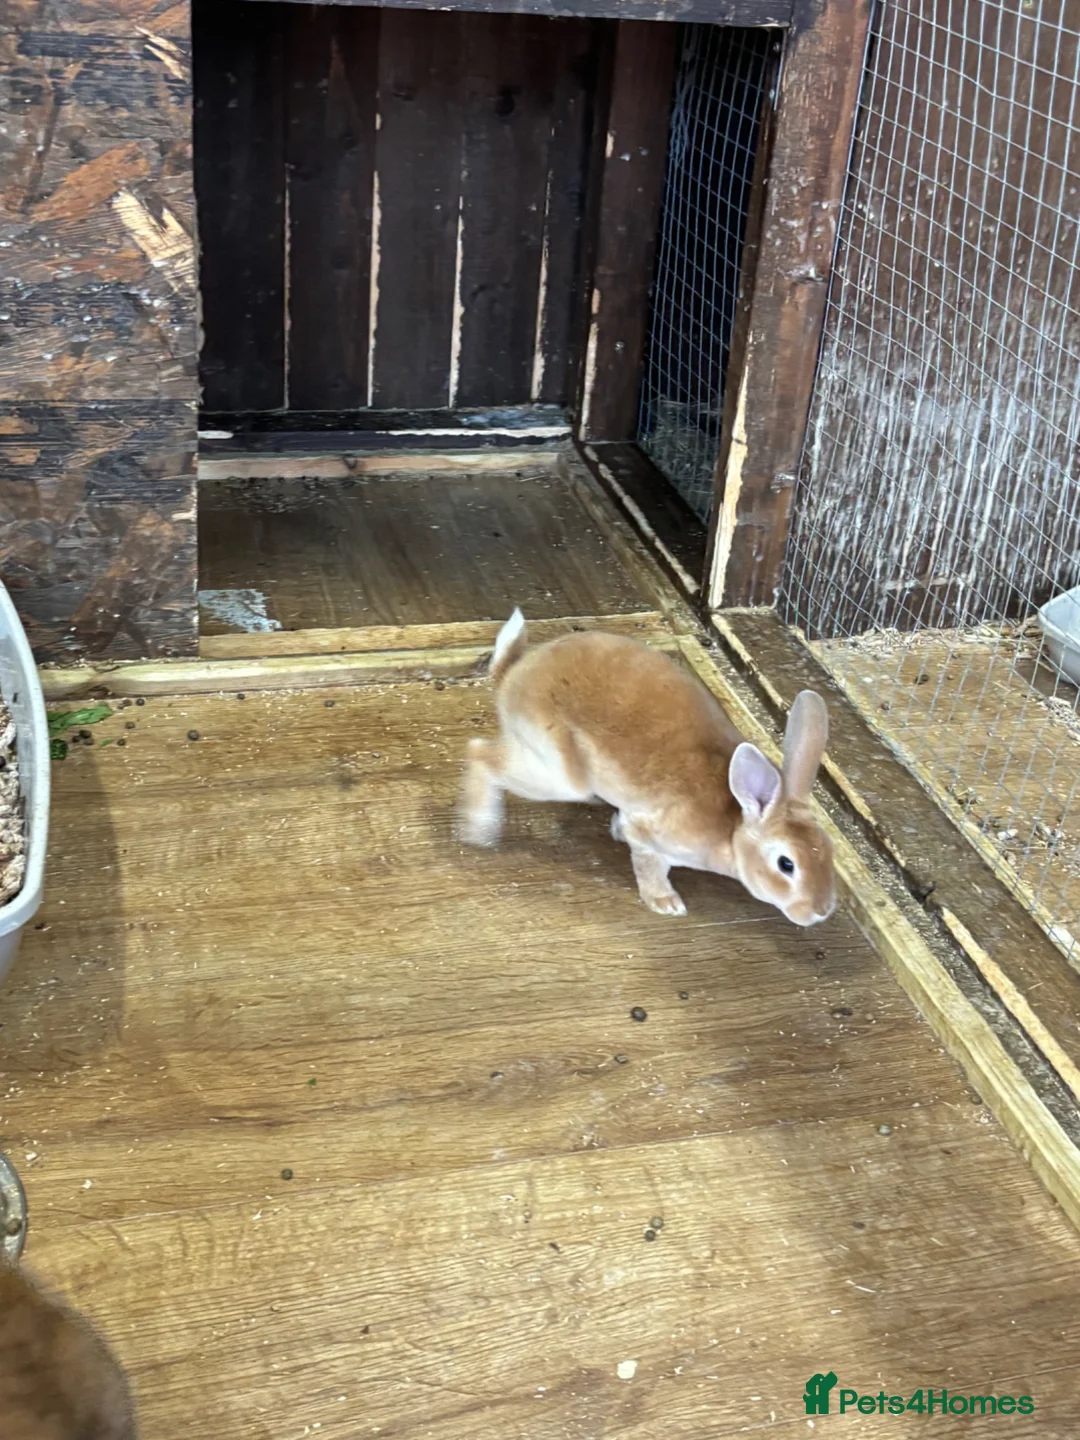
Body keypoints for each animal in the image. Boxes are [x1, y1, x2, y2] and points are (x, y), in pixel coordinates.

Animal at [458, 610, 836, 926]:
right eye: (786, 864)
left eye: (828, 849)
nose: (820, 912)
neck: (732, 828)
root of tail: (511, 676)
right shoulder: (651, 836)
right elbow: (648, 865)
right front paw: (665, 903)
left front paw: (615, 831)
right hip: (557, 773)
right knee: (480, 753)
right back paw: (478, 829)